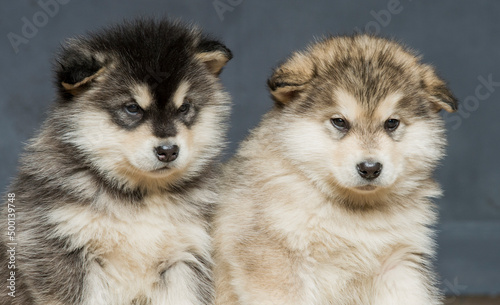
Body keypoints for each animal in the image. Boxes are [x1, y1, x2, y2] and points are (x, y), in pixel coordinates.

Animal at [0, 19, 231, 304]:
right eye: (132, 108)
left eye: (185, 107)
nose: (168, 151)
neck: (139, 197)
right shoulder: (62, 249)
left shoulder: (186, 256)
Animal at [215, 34, 458, 302]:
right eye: (339, 122)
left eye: (392, 123)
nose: (370, 168)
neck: (355, 214)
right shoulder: (275, 260)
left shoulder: (399, 264)